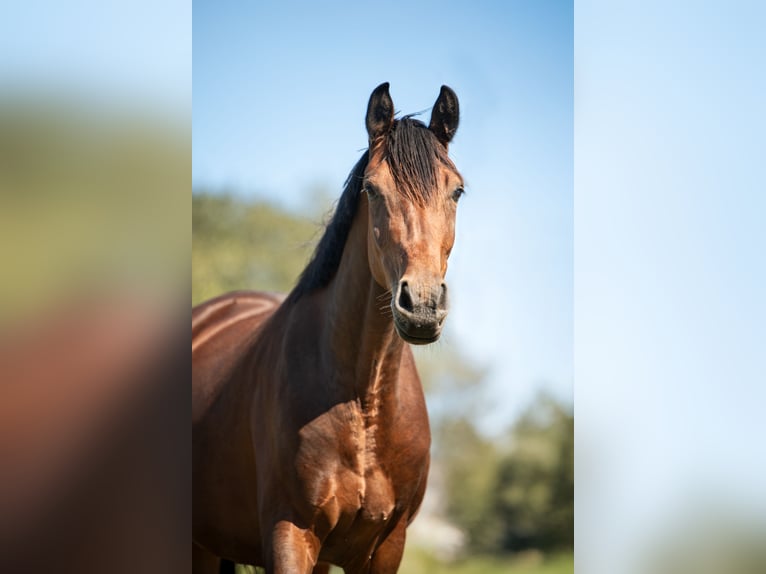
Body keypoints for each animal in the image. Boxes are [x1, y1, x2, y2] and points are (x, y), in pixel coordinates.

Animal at [192, 82, 464, 574]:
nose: (422, 305)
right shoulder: (290, 534)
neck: (363, 403)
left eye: (457, 192)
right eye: (372, 190)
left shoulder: (385, 546)